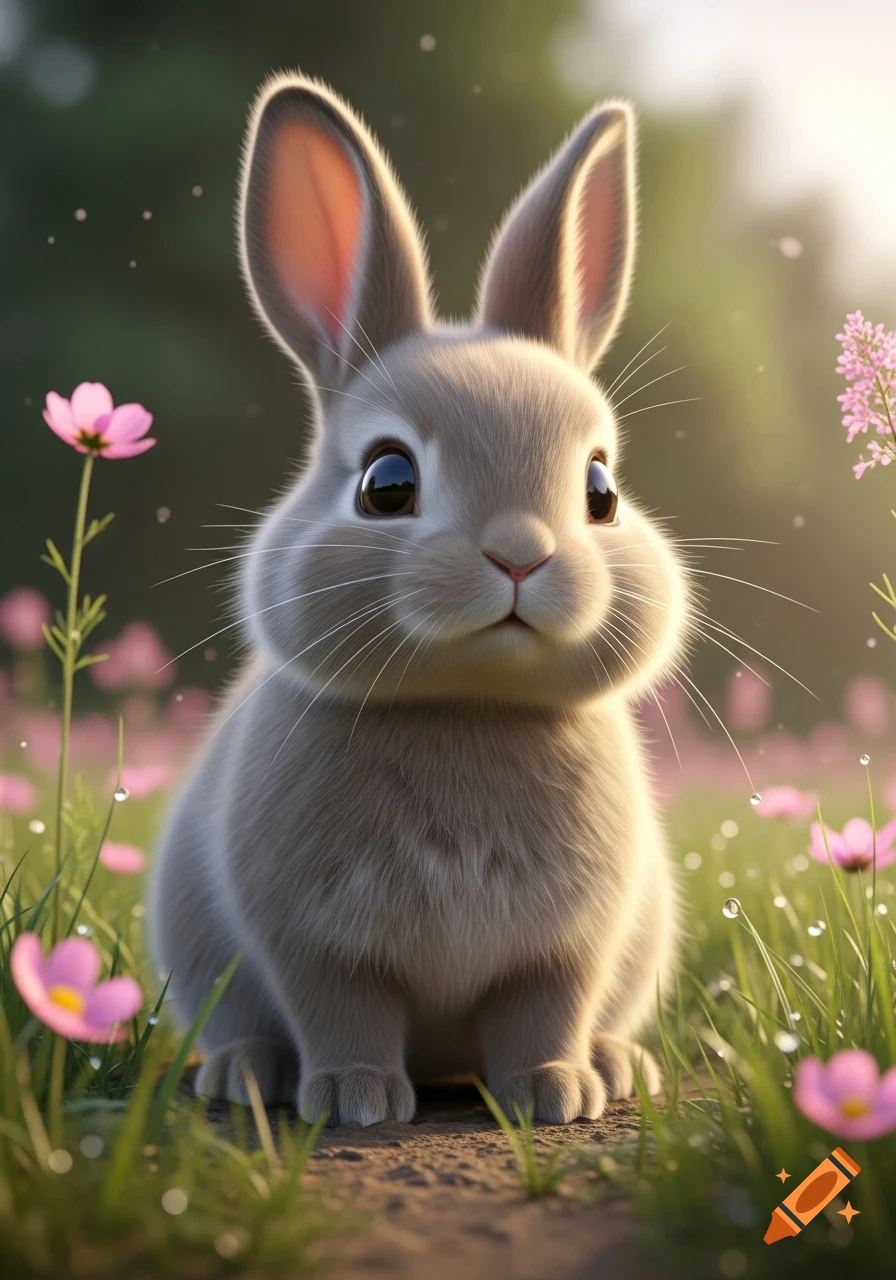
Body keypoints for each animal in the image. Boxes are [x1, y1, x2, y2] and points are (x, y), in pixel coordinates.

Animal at [148, 72, 690, 1127]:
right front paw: (352, 1099)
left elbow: (544, 1011)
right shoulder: (316, 942)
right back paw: (243, 1075)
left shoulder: (567, 945)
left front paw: (554, 1093)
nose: (521, 554)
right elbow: (342, 1011)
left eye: (601, 489)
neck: (467, 706)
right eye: (386, 482)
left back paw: (615, 1067)